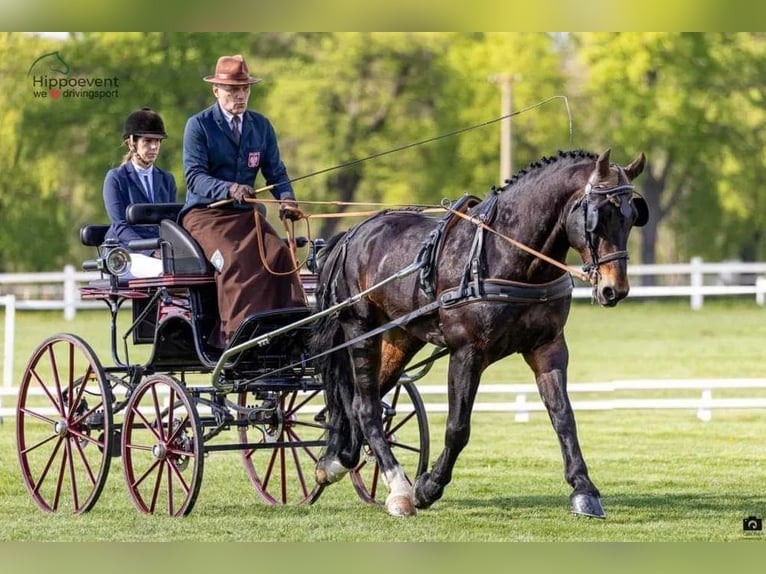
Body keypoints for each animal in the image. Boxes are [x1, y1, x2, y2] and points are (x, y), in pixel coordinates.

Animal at [310, 148, 648, 516]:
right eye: (598, 216)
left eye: (632, 216)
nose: (615, 289)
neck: (509, 255)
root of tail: (352, 233)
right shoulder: (467, 352)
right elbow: (458, 427)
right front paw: (428, 487)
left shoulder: (548, 346)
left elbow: (563, 417)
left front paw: (583, 489)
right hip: (361, 328)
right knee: (367, 405)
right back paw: (399, 488)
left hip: (400, 336)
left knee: (359, 400)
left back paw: (338, 460)